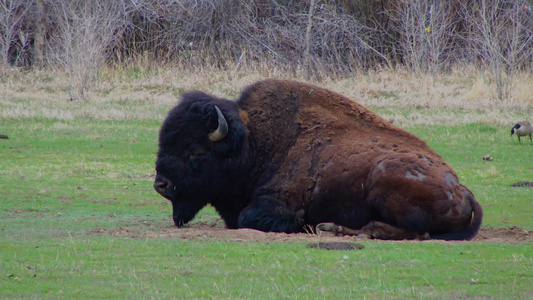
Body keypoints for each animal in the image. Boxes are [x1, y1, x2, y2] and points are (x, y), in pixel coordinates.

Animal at [154, 78, 482, 240]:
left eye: (195, 152)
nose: (161, 184)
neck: (254, 143)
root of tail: (463, 190)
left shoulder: (276, 203)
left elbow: (253, 217)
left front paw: (303, 225)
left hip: (385, 182)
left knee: (415, 231)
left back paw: (337, 229)